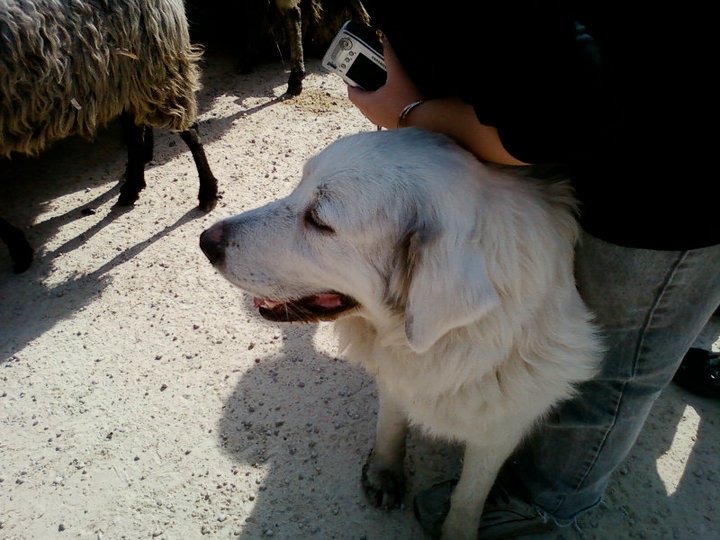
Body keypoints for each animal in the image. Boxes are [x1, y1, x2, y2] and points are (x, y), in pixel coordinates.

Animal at [0, 0, 219, 272]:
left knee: (187, 129)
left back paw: (207, 192)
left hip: (152, 61)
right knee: (136, 129)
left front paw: (19, 249)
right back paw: (132, 186)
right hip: (126, 73)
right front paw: (18, 246)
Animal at [201, 129, 600, 536]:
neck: (454, 346)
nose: (206, 241)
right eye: (299, 185)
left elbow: (470, 494)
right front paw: (384, 472)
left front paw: (456, 530)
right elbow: (390, 424)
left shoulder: (501, 428)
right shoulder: (397, 375)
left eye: (318, 220)